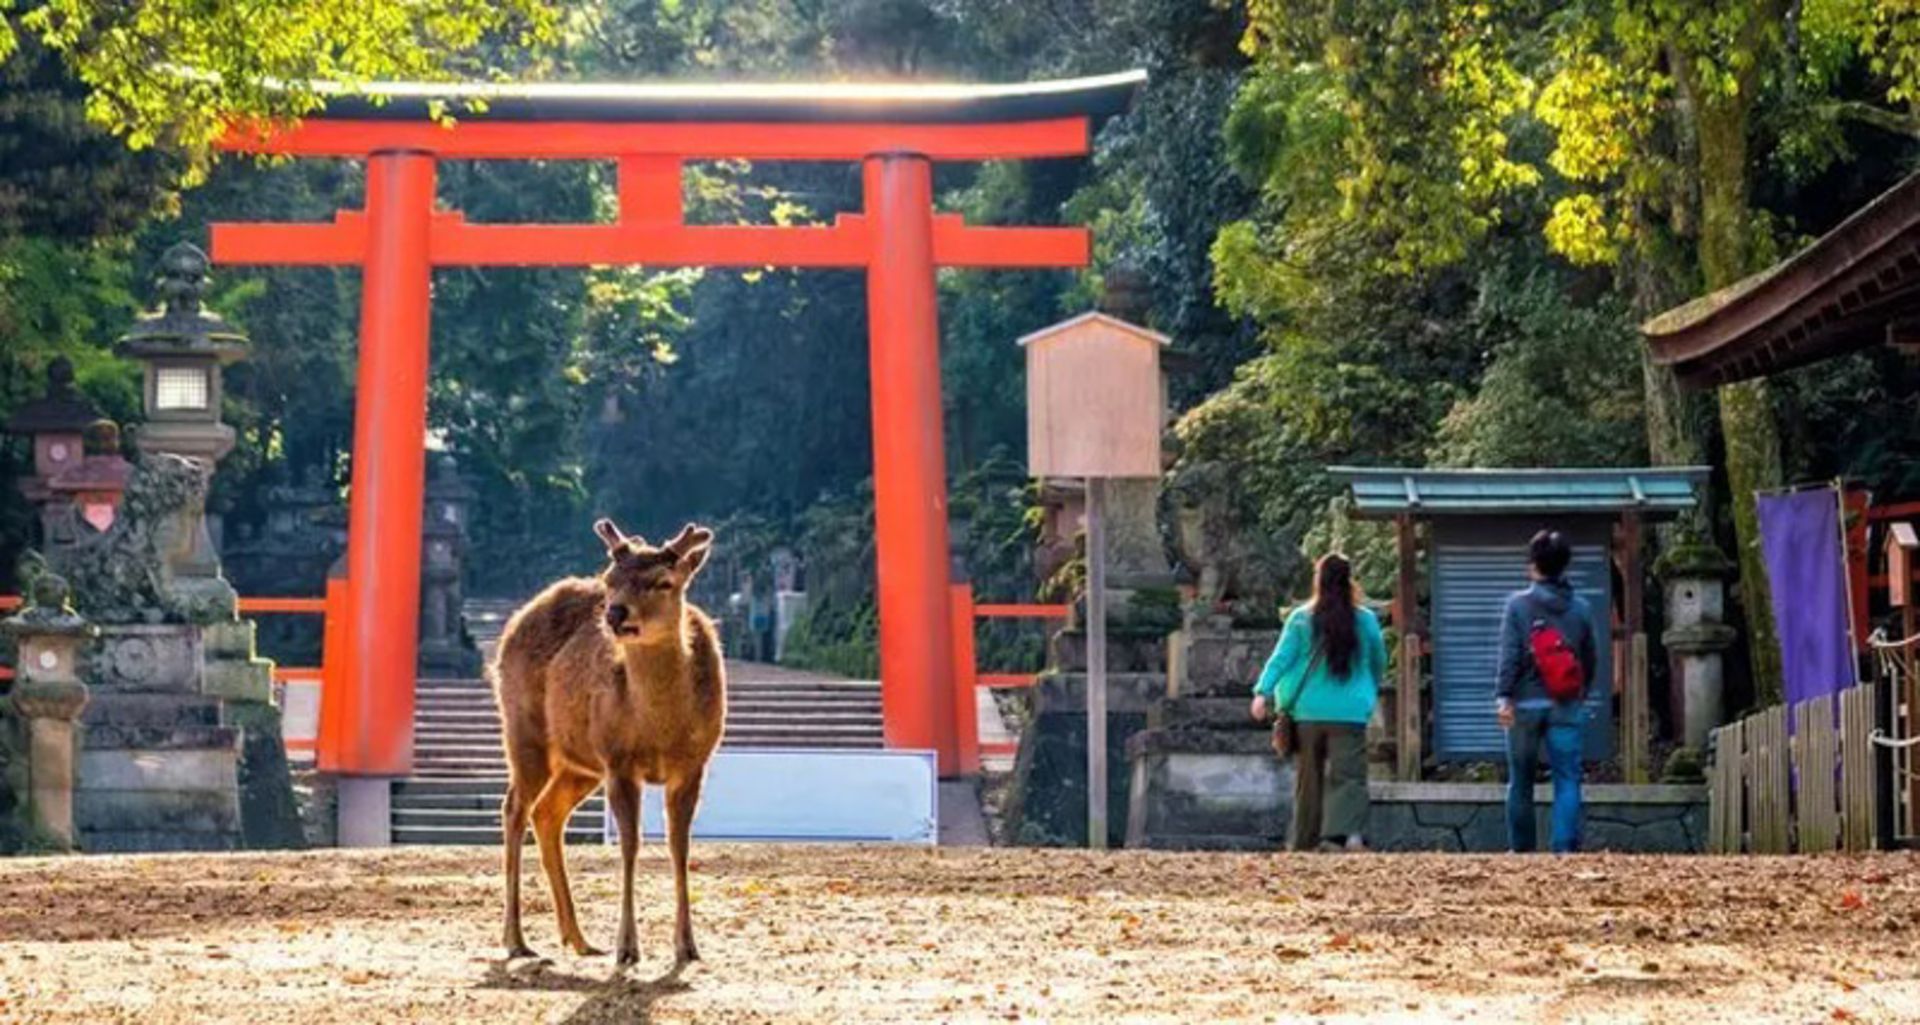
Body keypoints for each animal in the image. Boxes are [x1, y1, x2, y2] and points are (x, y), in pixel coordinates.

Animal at [492, 518, 726, 969]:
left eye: (664, 581)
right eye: (610, 579)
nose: (616, 613)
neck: (661, 729)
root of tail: (508, 631)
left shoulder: (694, 764)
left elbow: (680, 847)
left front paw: (687, 947)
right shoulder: (619, 760)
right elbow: (630, 846)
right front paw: (628, 947)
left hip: (579, 762)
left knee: (547, 812)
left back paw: (579, 939)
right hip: (524, 731)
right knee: (514, 807)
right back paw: (516, 940)